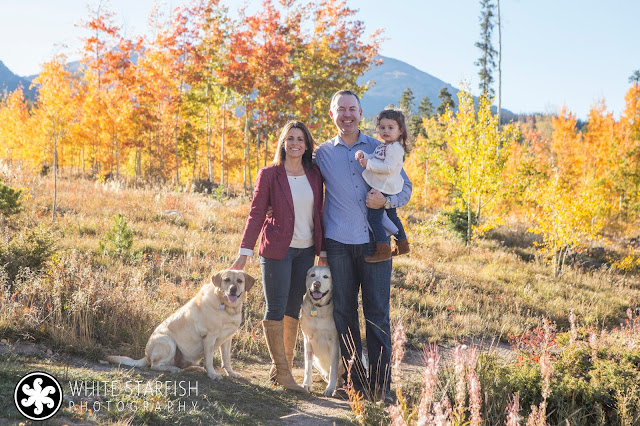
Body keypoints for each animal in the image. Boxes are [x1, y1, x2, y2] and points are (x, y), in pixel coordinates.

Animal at [106, 270, 254, 380]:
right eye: (226, 280)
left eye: (239, 281)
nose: (233, 289)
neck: (227, 308)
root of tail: (145, 356)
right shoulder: (209, 337)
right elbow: (210, 359)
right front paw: (212, 374)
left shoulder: (227, 339)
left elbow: (226, 359)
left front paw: (231, 373)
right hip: (167, 341)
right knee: (155, 365)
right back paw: (174, 369)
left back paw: (196, 368)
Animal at [300, 264, 344, 398]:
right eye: (313, 275)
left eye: (325, 276)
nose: (317, 284)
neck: (318, 308)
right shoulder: (307, 340)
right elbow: (307, 366)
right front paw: (306, 384)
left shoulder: (335, 342)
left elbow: (333, 367)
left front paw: (330, 388)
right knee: (324, 374)